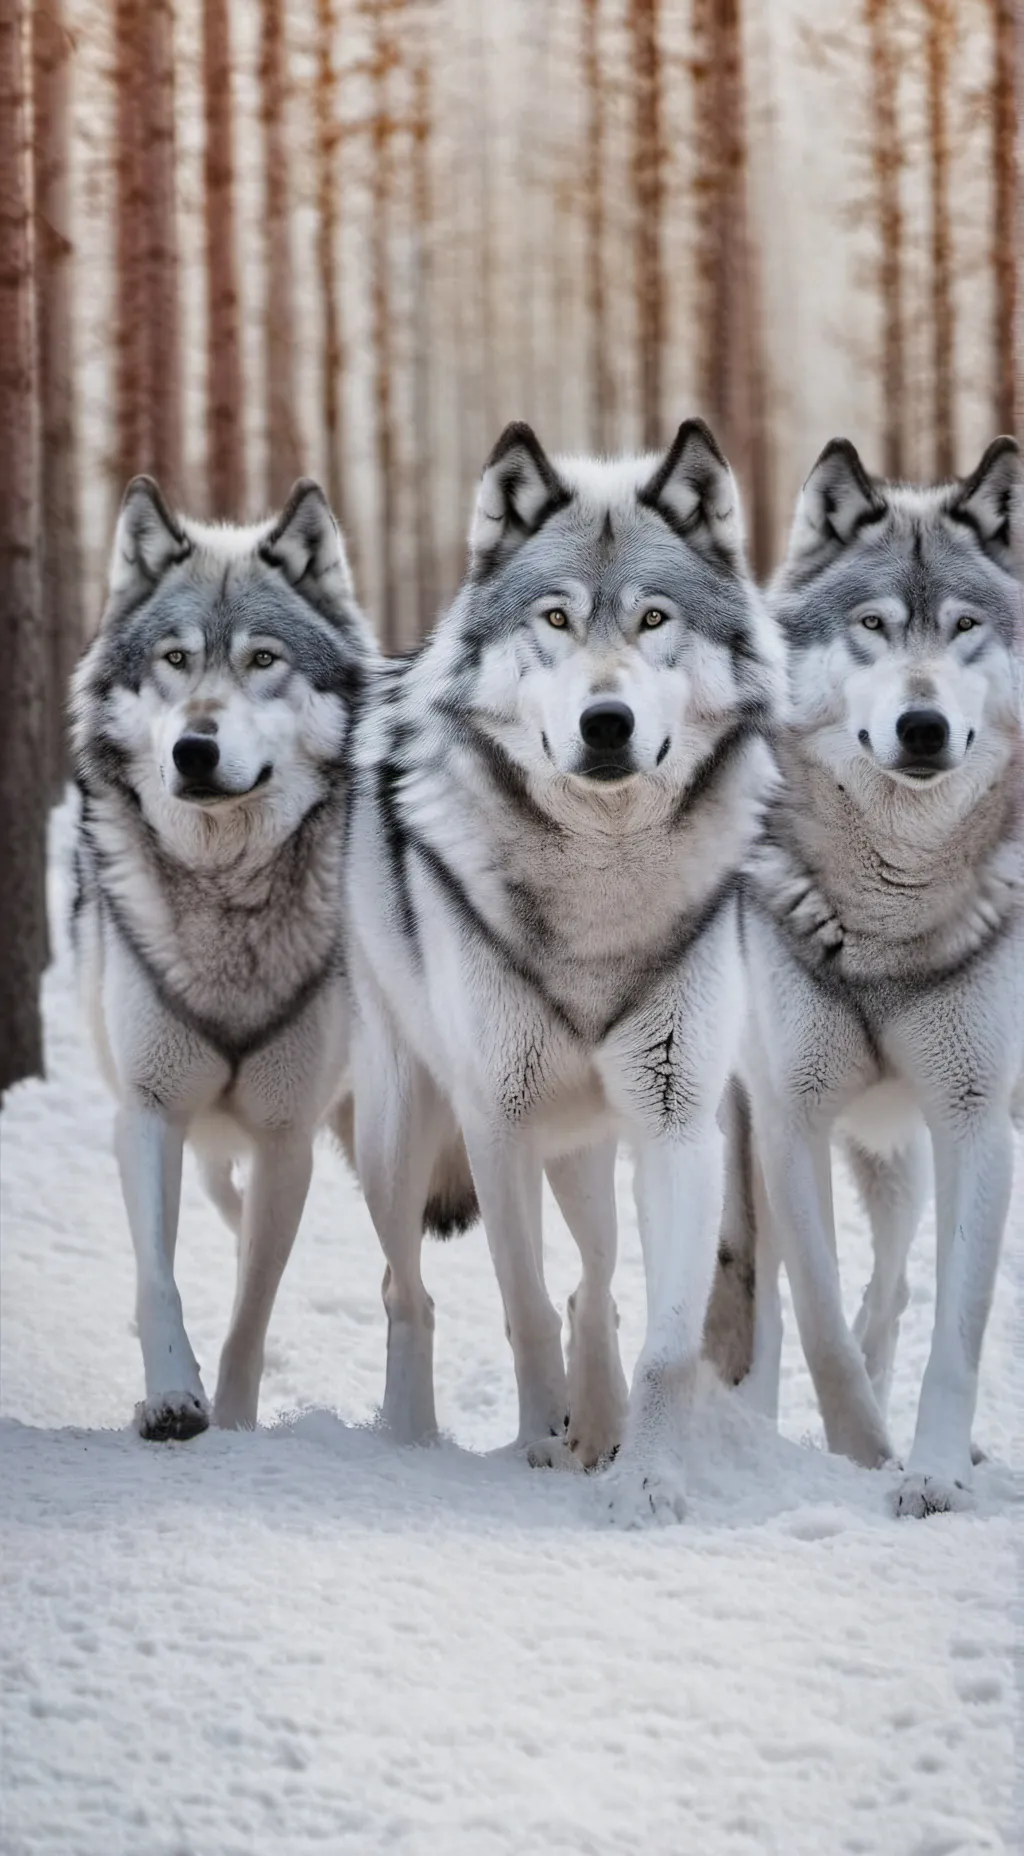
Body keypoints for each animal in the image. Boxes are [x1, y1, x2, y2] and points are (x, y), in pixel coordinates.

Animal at [70, 475, 374, 1440]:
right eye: (174, 658)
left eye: (262, 659)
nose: (193, 749)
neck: (227, 894)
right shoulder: (150, 1111)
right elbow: (159, 1278)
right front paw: (172, 1397)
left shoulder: (285, 1136)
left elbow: (252, 1307)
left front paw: (235, 1419)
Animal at [342, 418, 783, 1525]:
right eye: (554, 617)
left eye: (655, 617)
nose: (606, 721)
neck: (600, 886)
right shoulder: (496, 1120)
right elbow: (522, 1299)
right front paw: (539, 1444)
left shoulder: (678, 1122)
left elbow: (663, 1337)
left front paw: (648, 1483)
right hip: (398, 1134)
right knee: (407, 1288)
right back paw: (414, 1438)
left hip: (588, 1141)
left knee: (597, 1281)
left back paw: (604, 1429)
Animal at [719, 435, 1024, 1516]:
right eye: (874, 628)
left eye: (964, 628)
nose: (922, 726)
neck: (890, 909)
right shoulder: (789, 1117)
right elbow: (811, 1314)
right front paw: (856, 1452)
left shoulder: (976, 1122)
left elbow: (955, 1326)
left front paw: (930, 1471)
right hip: (739, 1132)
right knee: (762, 1289)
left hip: (905, 1155)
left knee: (890, 1287)